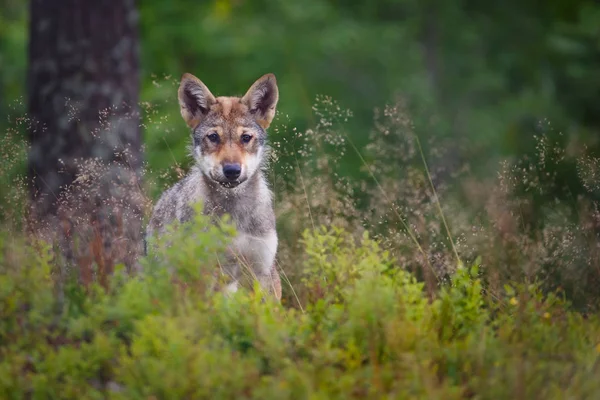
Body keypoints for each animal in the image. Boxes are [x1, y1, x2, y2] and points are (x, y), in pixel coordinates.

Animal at [148, 73, 284, 302]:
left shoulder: (263, 270)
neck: (234, 213)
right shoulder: (207, 272)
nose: (232, 170)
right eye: (213, 137)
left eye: (245, 138)